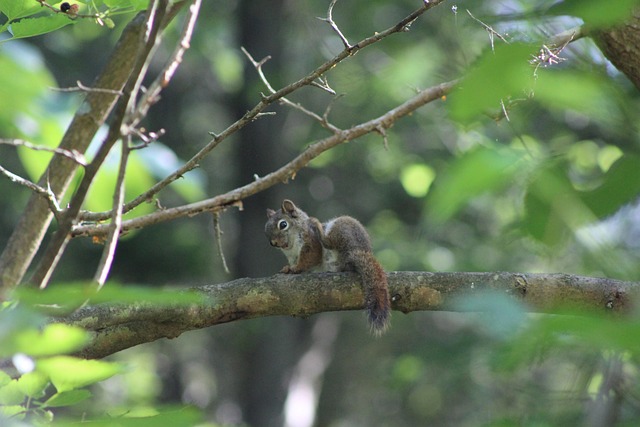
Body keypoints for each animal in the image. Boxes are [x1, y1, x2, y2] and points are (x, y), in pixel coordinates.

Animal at [265, 199, 390, 335]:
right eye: (266, 230)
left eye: (283, 224)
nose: (273, 243)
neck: (292, 247)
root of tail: (356, 253)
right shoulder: (293, 257)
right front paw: (288, 268)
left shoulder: (311, 243)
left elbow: (310, 259)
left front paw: (296, 268)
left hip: (341, 228)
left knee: (328, 243)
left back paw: (319, 228)